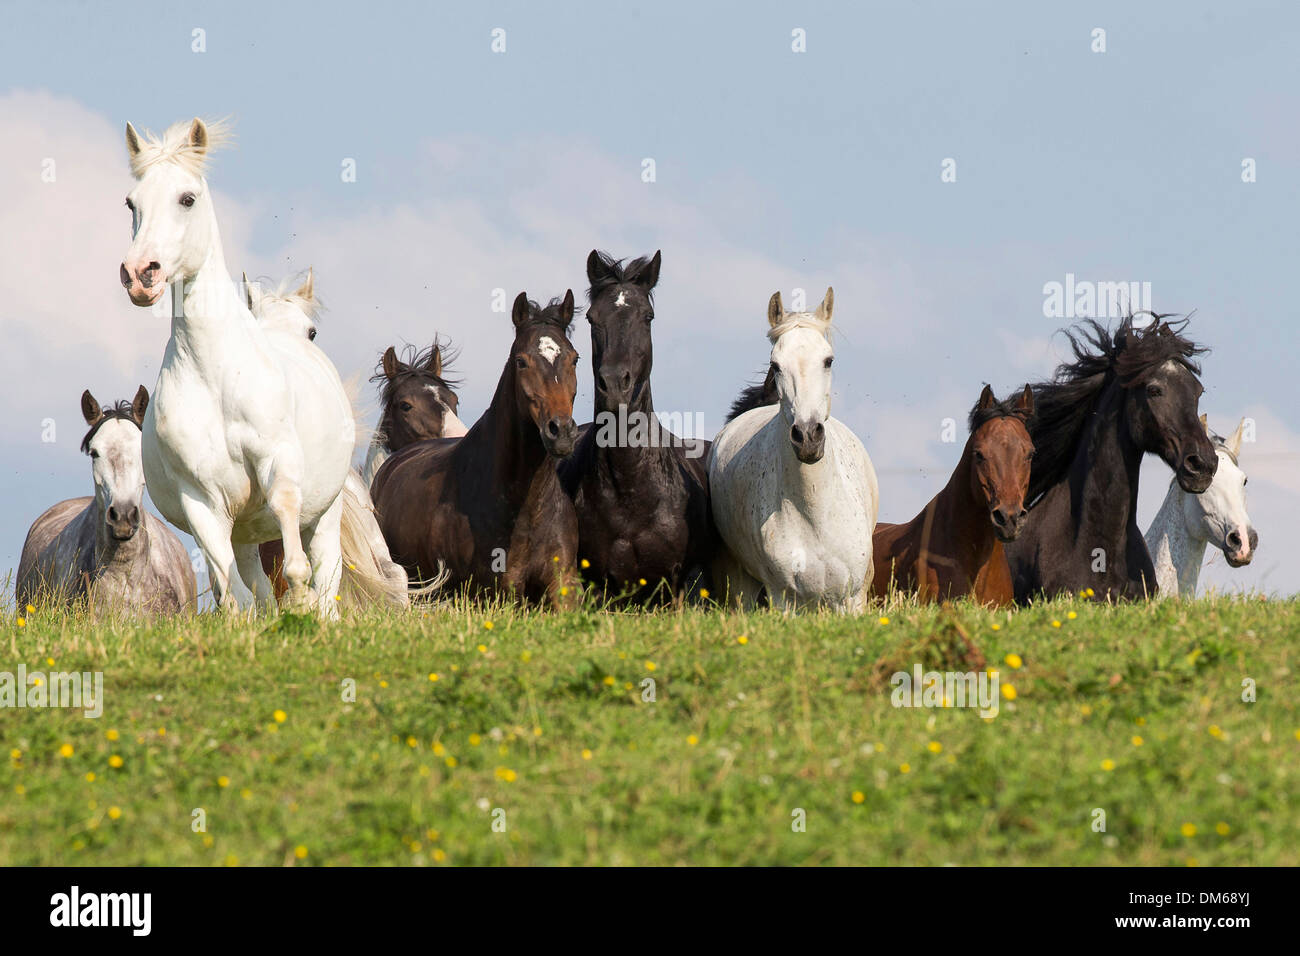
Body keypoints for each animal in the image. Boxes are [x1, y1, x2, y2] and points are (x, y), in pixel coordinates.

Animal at [119, 117, 353, 617]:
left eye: (187, 198)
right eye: (132, 203)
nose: (140, 274)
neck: (217, 379)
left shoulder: (277, 462)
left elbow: (295, 549)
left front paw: (300, 600)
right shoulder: (202, 500)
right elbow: (237, 593)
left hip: (327, 511)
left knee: (327, 571)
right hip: (243, 531)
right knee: (251, 578)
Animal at [709, 288, 879, 612]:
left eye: (828, 360)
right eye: (776, 365)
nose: (808, 436)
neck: (816, 513)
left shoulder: (851, 599)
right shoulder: (783, 597)